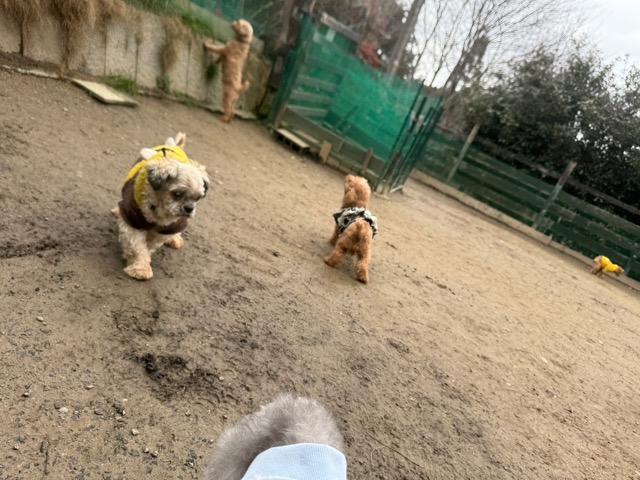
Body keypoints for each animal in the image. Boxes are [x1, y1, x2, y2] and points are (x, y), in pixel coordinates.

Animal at [111, 132, 209, 280]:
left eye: (198, 198)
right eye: (177, 194)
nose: (189, 208)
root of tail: (174, 145)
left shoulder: (167, 229)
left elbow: (150, 243)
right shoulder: (132, 221)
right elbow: (138, 247)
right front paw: (140, 267)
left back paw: (175, 239)